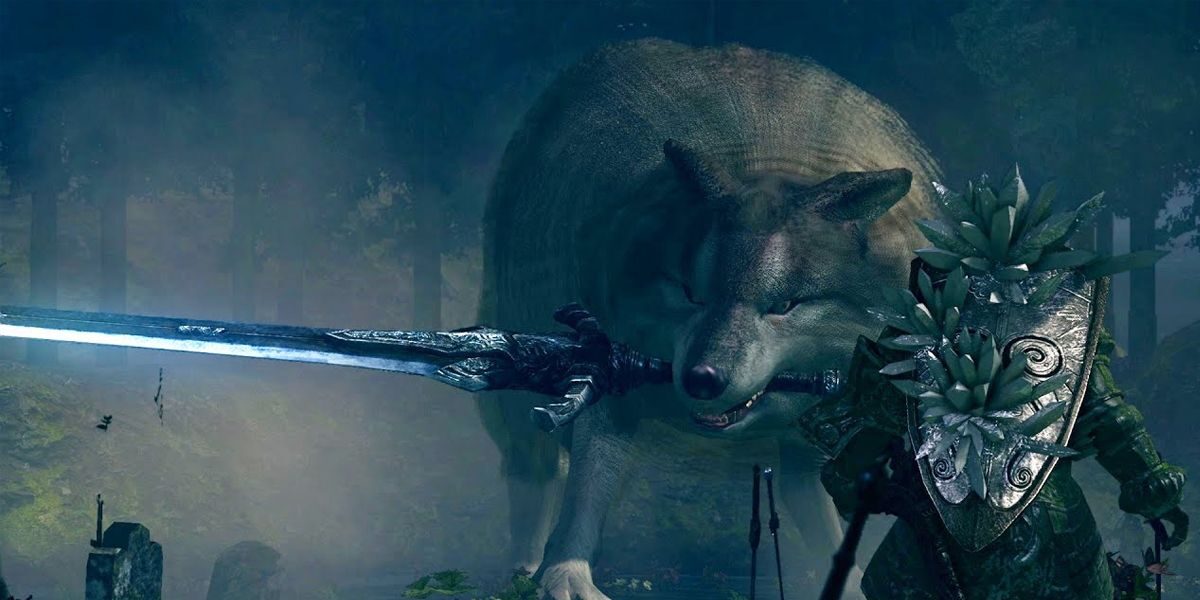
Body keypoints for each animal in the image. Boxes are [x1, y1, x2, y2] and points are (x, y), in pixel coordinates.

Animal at [477, 39, 941, 600]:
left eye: (784, 305)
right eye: (690, 292)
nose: (701, 378)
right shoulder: (609, 383)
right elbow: (587, 487)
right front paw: (565, 578)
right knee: (534, 464)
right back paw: (522, 566)